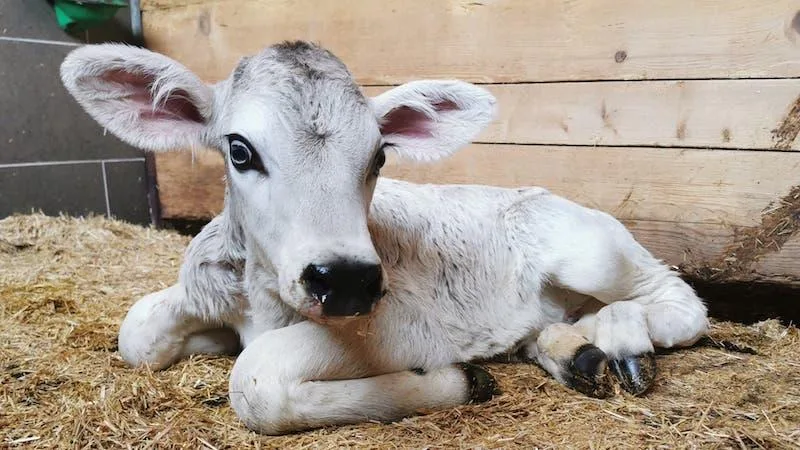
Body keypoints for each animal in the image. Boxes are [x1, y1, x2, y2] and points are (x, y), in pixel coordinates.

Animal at [60, 41, 709, 435]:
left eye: (380, 155)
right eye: (239, 150)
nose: (344, 278)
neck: (261, 304)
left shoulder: (408, 320)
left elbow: (257, 378)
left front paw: (460, 379)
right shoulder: (206, 290)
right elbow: (137, 332)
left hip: (592, 251)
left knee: (681, 302)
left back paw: (621, 338)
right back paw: (576, 349)